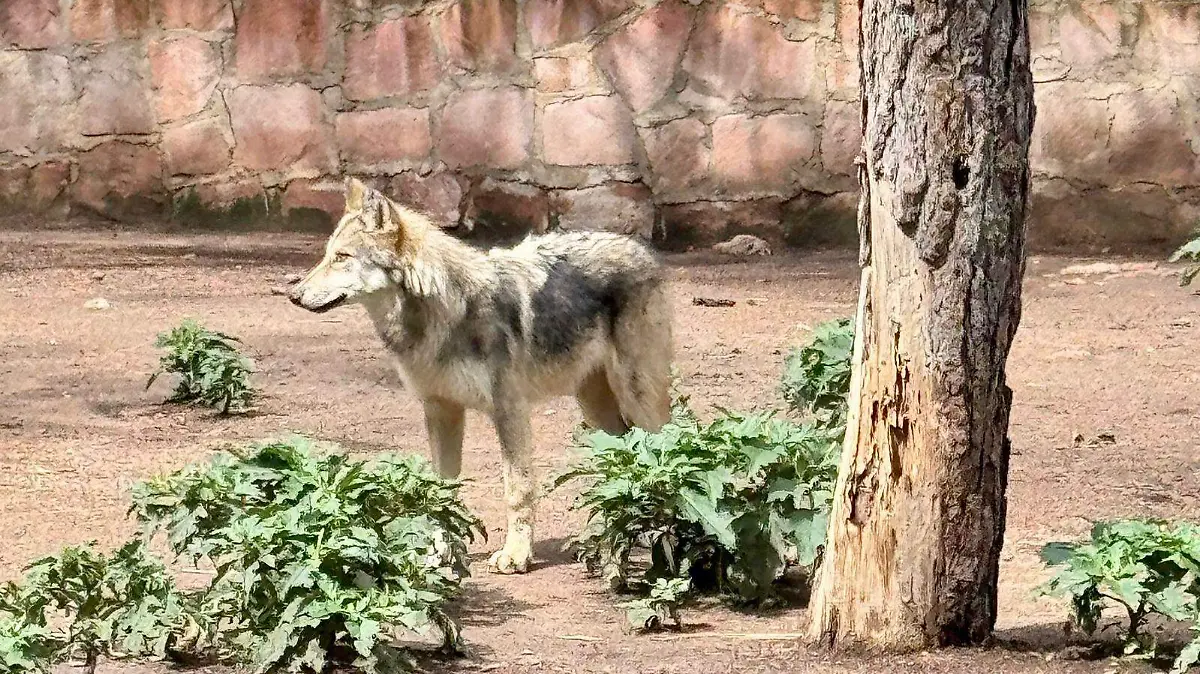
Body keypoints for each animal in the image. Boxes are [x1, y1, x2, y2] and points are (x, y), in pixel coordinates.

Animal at [289, 178, 674, 573]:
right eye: (327, 255)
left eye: (343, 258)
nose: (294, 295)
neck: (443, 313)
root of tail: (640, 248)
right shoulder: (440, 409)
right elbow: (440, 491)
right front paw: (439, 555)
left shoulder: (509, 410)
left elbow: (517, 489)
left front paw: (516, 554)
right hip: (595, 406)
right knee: (619, 458)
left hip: (637, 397)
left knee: (664, 448)